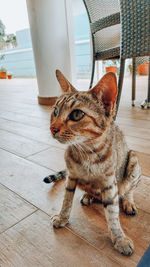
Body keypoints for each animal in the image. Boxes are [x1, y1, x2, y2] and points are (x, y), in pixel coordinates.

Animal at [44, 69, 141, 258]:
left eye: (76, 114)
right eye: (56, 111)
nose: (53, 128)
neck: (87, 153)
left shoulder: (110, 184)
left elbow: (113, 214)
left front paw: (119, 238)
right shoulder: (71, 177)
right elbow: (66, 200)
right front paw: (62, 217)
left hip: (133, 160)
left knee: (128, 190)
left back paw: (128, 202)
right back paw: (89, 195)